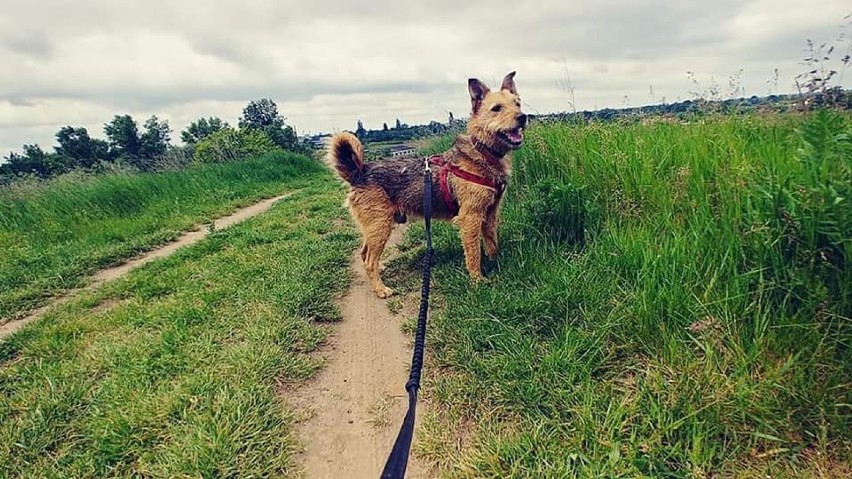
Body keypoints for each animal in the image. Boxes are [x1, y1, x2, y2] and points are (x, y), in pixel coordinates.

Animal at [328, 71, 524, 298]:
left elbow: (492, 244)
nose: (523, 117)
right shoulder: (470, 218)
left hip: (375, 227)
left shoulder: (490, 213)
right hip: (380, 226)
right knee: (368, 260)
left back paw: (380, 269)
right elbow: (474, 253)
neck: (482, 152)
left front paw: (495, 263)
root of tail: (359, 172)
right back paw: (380, 289)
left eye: (517, 104)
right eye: (496, 108)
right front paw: (477, 280)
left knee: (364, 253)